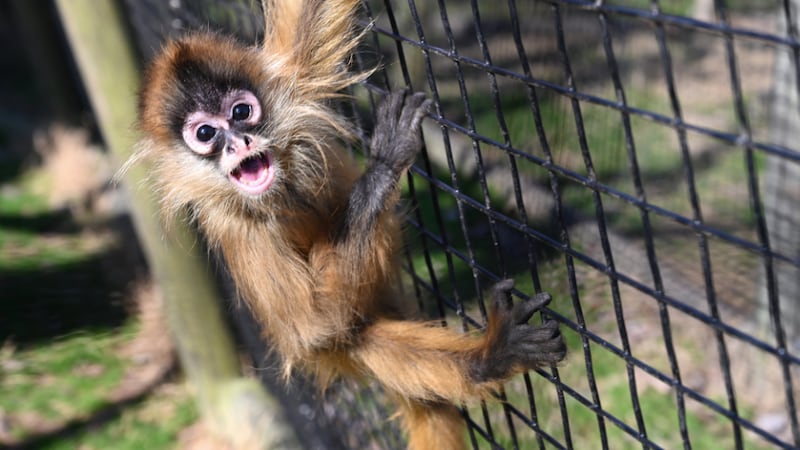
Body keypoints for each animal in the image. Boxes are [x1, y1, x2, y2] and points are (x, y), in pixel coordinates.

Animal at [131, 0, 564, 446]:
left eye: (241, 112)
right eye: (205, 133)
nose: (238, 142)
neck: (283, 190)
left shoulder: (292, 78)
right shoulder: (235, 224)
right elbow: (315, 325)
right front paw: (383, 167)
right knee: (354, 333)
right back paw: (491, 357)